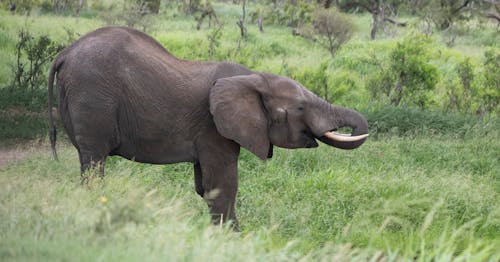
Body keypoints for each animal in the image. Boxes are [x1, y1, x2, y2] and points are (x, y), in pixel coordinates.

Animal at [47, 26, 368, 227]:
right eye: (300, 108)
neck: (252, 77)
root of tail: (64, 53)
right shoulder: (213, 128)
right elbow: (223, 185)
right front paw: (235, 239)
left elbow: (205, 187)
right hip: (92, 96)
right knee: (94, 161)